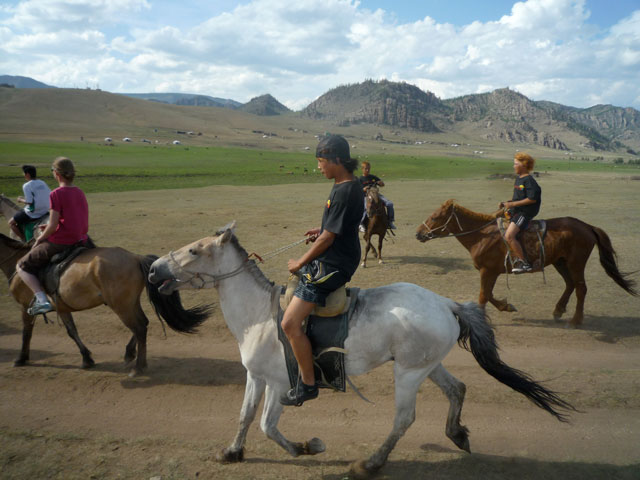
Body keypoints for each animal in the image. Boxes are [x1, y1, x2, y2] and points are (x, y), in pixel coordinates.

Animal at [0, 232, 210, 376]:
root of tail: (135, 257)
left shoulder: (25, 306)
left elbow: (26, 332)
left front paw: (21, 358)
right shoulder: (63, 307)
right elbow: (72, 331)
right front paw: (86, 358)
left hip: (121, 305)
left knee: (139, 327)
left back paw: (138, 367)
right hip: (128, 302)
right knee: (142, 324)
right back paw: (130, 354)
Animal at [416, 199, 636, 326]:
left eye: (435, 217)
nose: (419, 233)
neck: (482, 235)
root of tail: (587, 226)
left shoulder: (488, 271)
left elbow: (484, 295)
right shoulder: (492, 272)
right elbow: (489, 294)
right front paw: (507, 307)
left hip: (576, 263)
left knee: (581, 288)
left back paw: (575, 320)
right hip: (560, 262)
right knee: (570, 284)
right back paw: (558, 310)